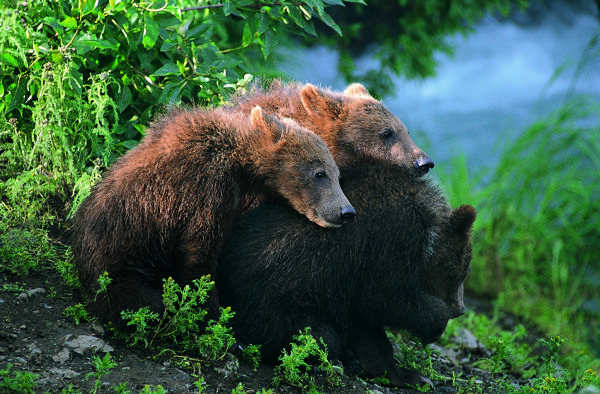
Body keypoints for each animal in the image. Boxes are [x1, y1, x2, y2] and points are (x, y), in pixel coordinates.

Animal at [71, 105, 354, 330]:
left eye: (337, 174)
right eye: (320, 173)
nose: (346, 211)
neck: (241, 165)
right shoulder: (205, 188)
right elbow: (199, 252)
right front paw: (213, 316)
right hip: (120, 263)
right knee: (140, 302)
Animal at [218, 159, 476, 388]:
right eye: (464, 269)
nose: (460, 309)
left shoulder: (350, 284)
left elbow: (367, 327)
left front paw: (402, 374)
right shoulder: (389, 243)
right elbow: (384, 298)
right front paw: (435, 325)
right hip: (271, 305)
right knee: (317, 336)